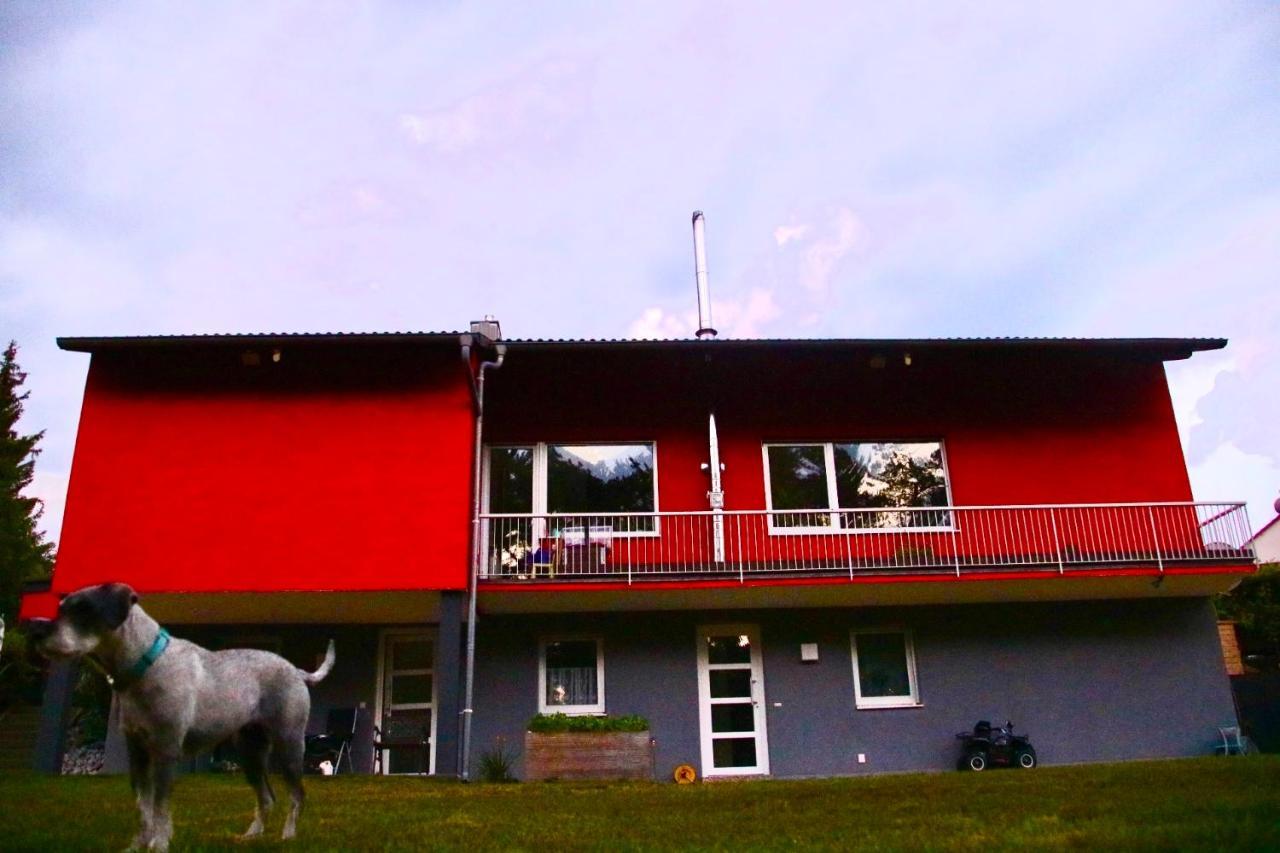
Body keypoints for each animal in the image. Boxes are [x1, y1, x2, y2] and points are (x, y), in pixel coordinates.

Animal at [26, 581, 335, 845]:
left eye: (83, 608)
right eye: (60, 606)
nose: (36, 630)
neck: (147, 664)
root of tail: (296, 671)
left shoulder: (166, 749)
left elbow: (160, 807)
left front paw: (159, 844)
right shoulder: (137, 752)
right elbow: (144, 807)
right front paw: (138, 845)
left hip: (288, 746)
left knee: (297, 795)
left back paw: (288, 835)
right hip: (249, 752)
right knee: (266, 797)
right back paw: (251, 835)